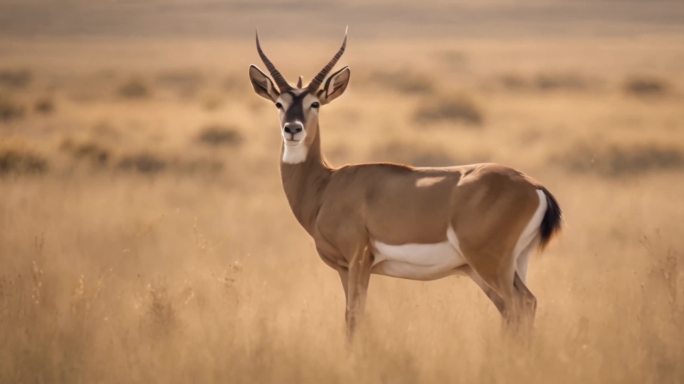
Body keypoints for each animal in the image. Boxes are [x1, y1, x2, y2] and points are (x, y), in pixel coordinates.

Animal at [247, 30, 560, 340]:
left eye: (315, 103)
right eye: (279, 103)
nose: (293, 129)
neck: (326, 185)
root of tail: (535, 186)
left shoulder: (359, 262)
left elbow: (353, 318)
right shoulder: (344, 268)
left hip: (490, 265)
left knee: (519, 304)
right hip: (501, 266)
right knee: (520, 307)